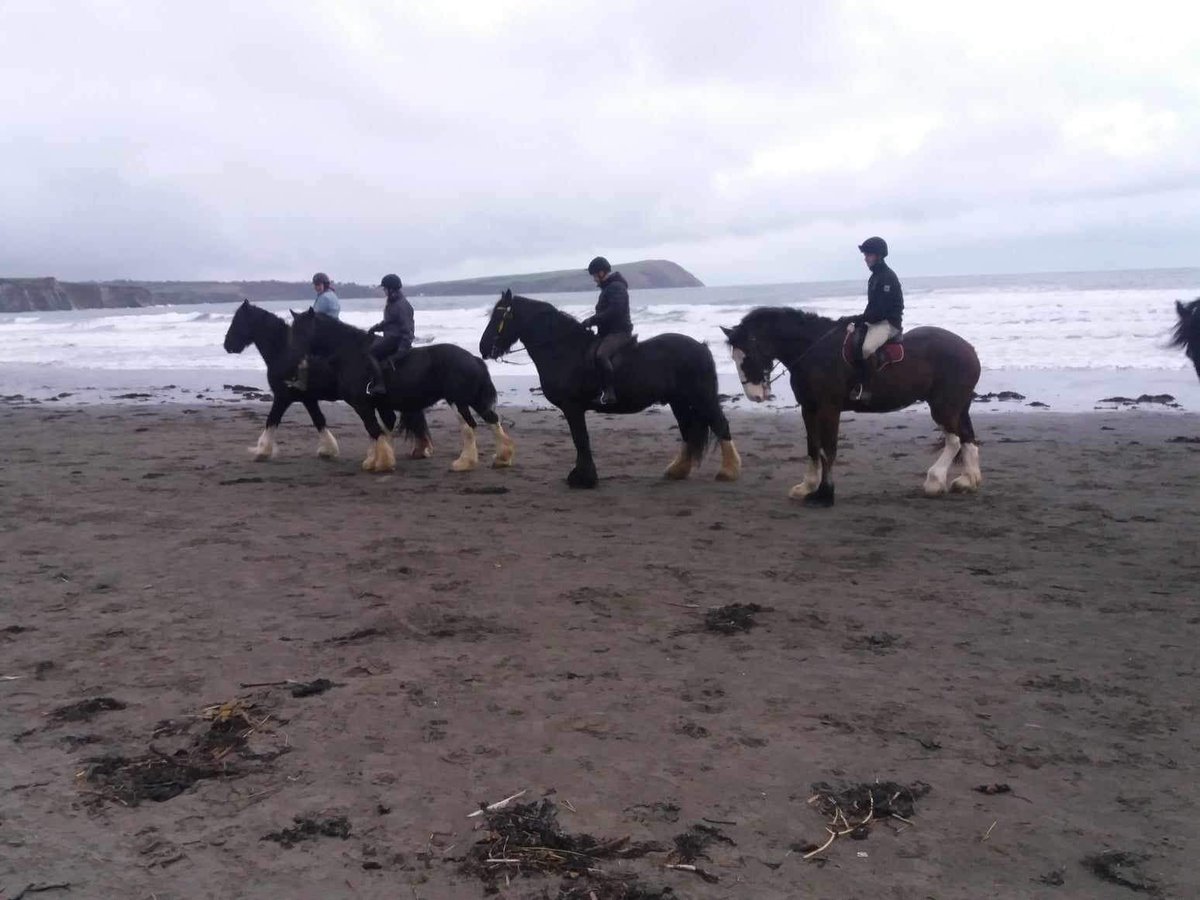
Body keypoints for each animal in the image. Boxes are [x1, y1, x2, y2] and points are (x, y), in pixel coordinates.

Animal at [219, 300, 393, 460]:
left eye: (237, 321)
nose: (227, 345)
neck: (283, 353)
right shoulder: (308, 399)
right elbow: (319, 420)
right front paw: (328, 449)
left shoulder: (283, 397)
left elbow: (272, 420)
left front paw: (262, 450)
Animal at [291, 309, 520, 475]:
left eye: (302, 330)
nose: (292, 355)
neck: (352, 353)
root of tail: (473, 358)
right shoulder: (380, 406)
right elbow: (382, 431)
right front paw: (375, 460)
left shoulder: (363, 405)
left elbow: (374, 430)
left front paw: (382, 464)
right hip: (473, 399)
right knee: (492, 420)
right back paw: (502, 458)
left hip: (459, 401)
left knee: (469, 427)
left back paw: (464, 463)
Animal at [477, 290, 739, 489]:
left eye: (499, 316)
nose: (483, 348)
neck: (564, 349)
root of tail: (701, 347)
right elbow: (580, 440)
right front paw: (582, 476)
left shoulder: (573, 408)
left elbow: (581, 439)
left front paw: (583, 479)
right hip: (679, 402)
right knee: (688, 431)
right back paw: (676, 471)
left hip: (701, 397)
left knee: (720, 425)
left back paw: (728, 471)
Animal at [720, 307, 984, 508]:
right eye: (734, 358)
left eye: (748, 355)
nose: (754, 395)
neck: (814, 350)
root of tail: (969, 349)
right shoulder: (809, 408)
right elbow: (813, 448)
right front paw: (806, 487)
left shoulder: (828, 409)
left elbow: (828, 450)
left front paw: (825, 495)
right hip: (958, 406)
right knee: (967, 437)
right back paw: (968, 481)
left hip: (943, 406)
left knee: (955, 440)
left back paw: (934, 481)